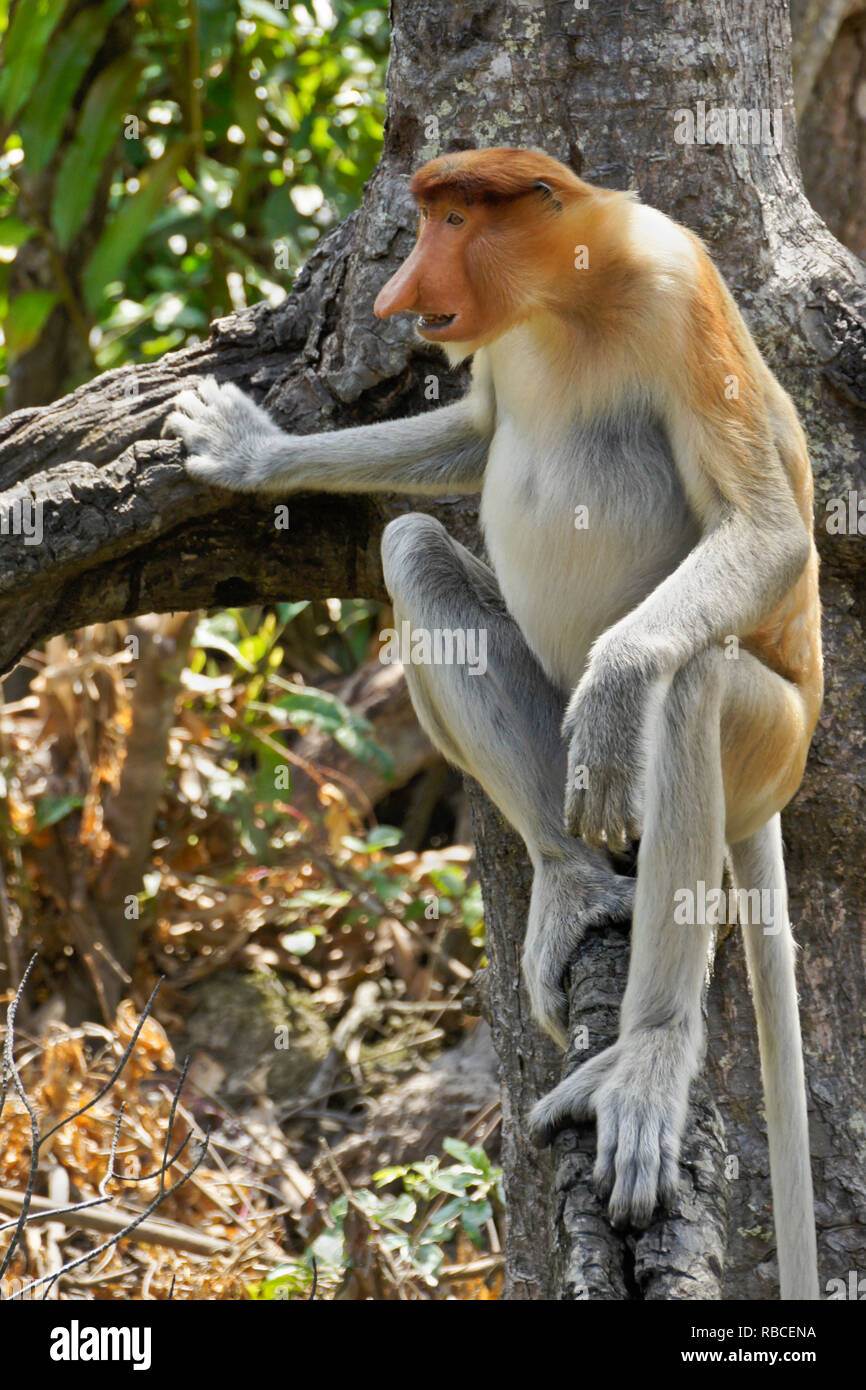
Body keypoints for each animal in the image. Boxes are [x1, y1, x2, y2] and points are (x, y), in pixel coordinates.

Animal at [166, 146, 822, 1295]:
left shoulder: (676, 287)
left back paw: (645, 1061)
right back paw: (571, 884)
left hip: (772, 743)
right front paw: (250, 452)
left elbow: (767, 531)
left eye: (456, 220)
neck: (567, 299)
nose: (400, 295)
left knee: (694, 685)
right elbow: (475, 441)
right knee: (416, 550)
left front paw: (620, 678)